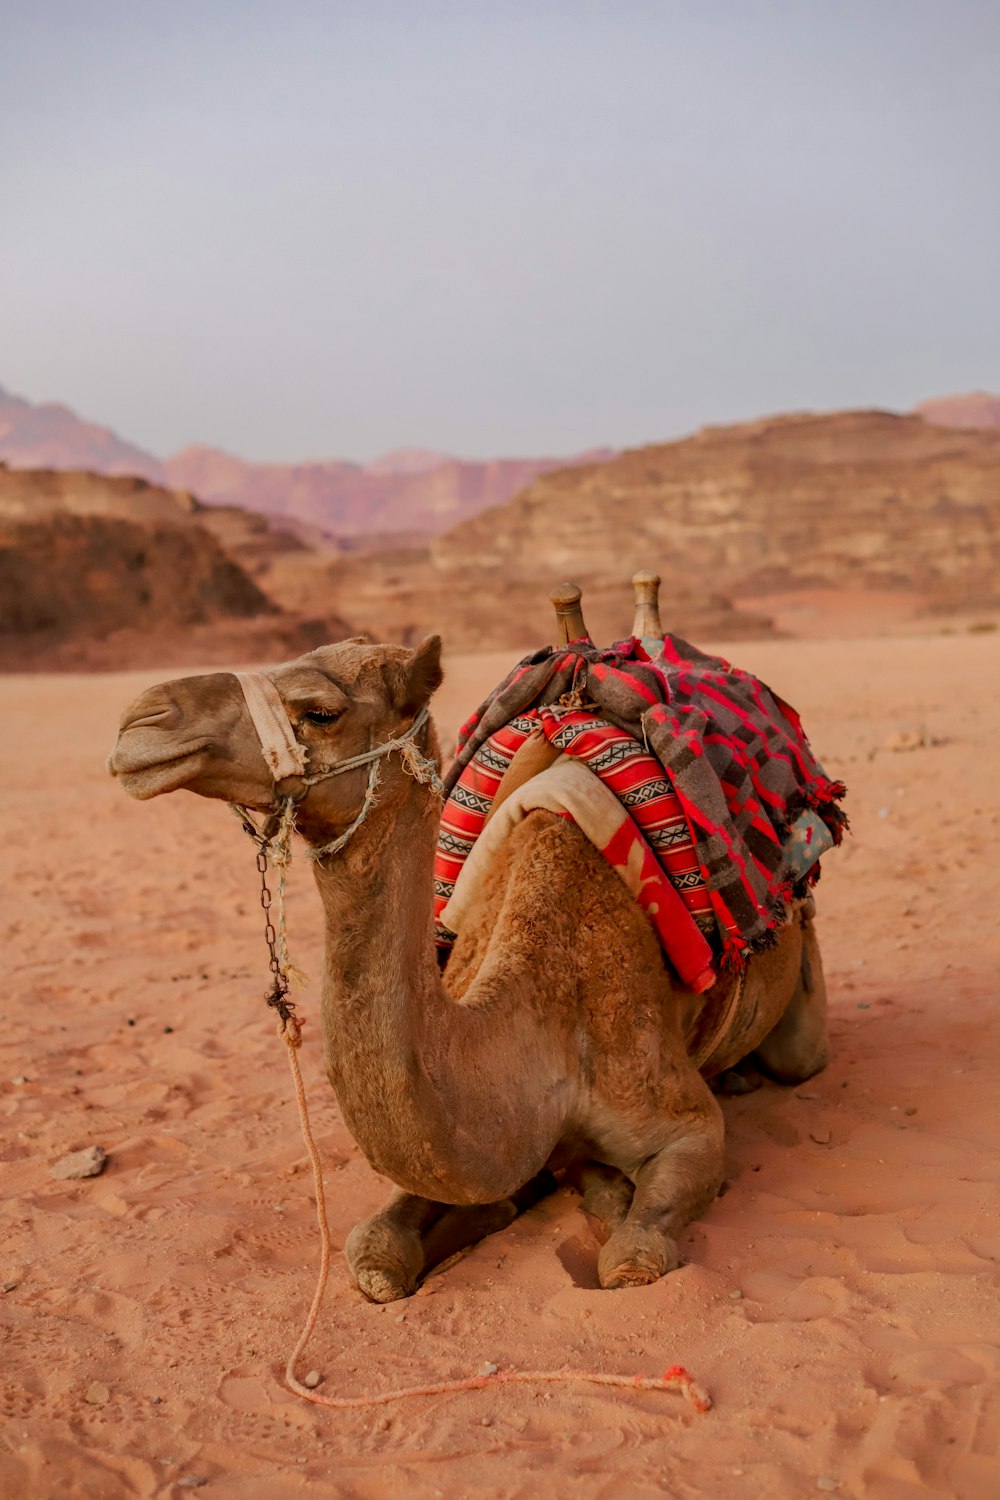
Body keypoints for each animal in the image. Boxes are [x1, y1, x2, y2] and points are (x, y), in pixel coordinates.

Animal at [107, 594, 827, 1302]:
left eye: (319, 712)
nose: (141, 719)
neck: (542, 1024)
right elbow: (375, 1253)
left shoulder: (685, 1125)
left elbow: (632, 1255)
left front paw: (605, 1194)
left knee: (799, 1056)